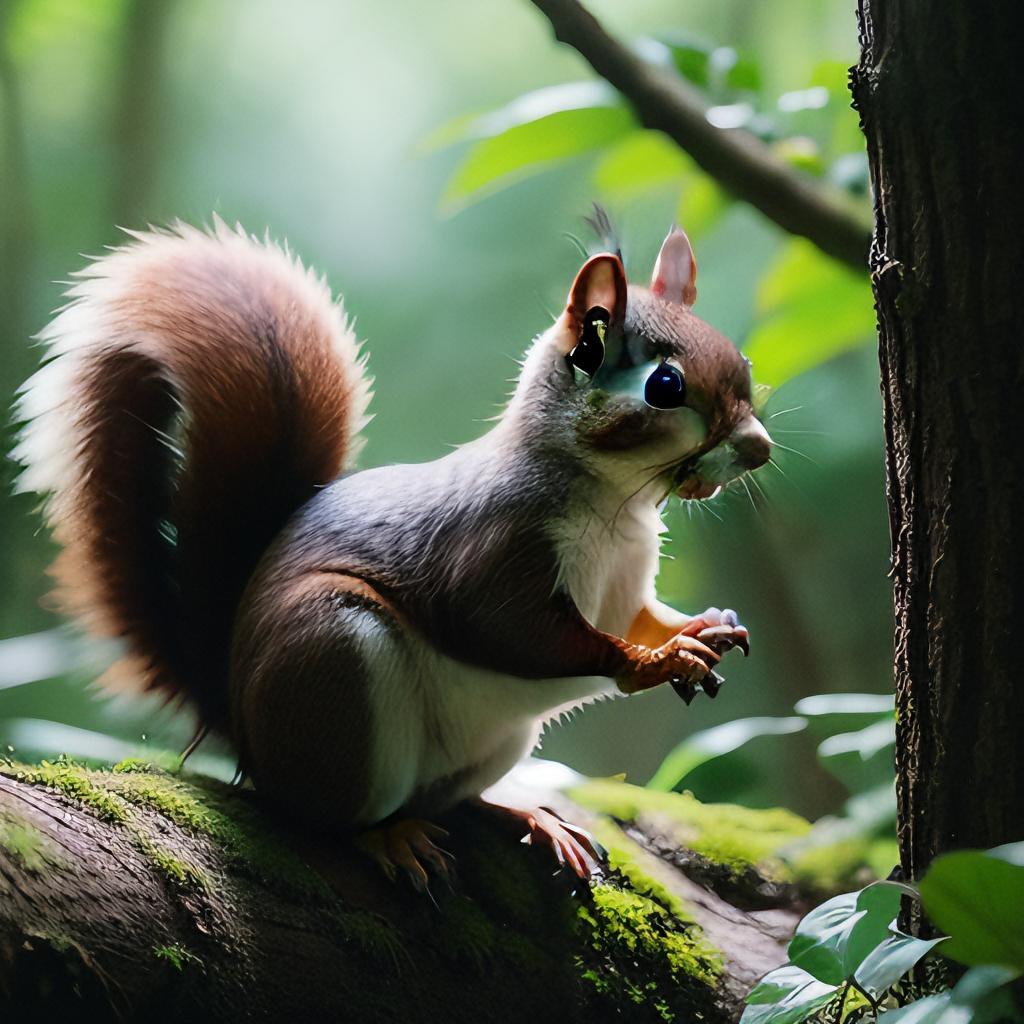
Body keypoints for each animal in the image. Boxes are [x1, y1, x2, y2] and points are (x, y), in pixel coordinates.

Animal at [16, 214, 770, 880]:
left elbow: (638, 617)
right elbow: (516, 630)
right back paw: (385, 838)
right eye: (664, 386)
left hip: (492, 740)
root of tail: (243, 729)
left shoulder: (624, 584)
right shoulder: (497, 548)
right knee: (330, 816)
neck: (618, 507)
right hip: (334, 661)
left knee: (451, 800)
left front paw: (704, 628)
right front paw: (656, 661)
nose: (759, 449)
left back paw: (525, 816)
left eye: (742, 359)